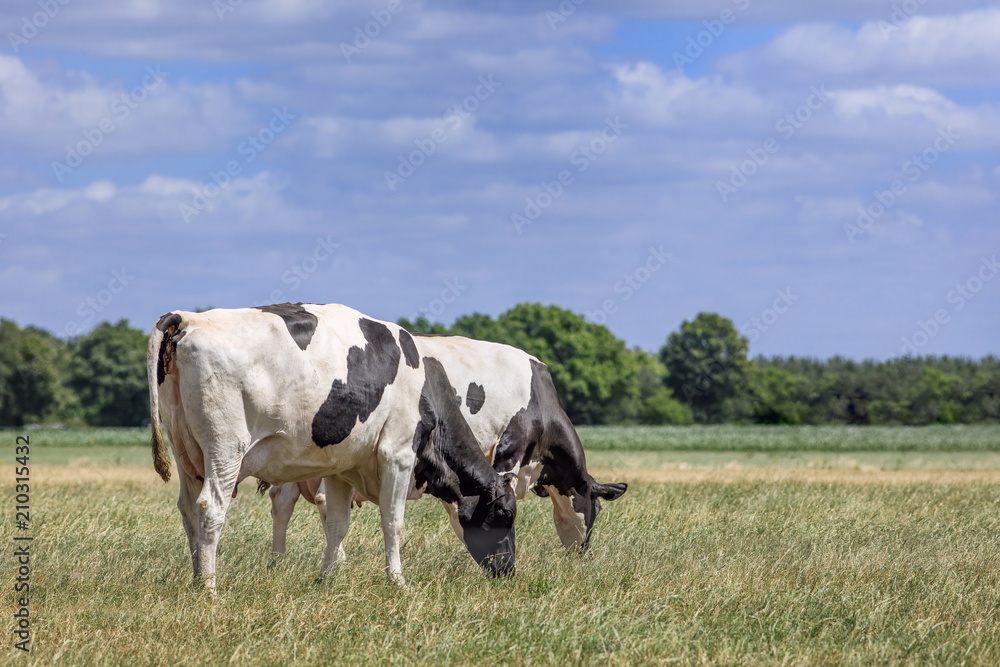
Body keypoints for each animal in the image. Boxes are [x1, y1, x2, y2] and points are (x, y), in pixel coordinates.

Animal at [150, 302, 524, 588]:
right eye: (506, 513)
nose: (509, 570)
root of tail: (189, 317)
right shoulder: (398, 454)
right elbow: (393, 520)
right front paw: (397, 581)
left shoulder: (341, 467)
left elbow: (336, 525)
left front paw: (325, 578)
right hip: (226, 449)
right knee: (209, 508)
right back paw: (209, 588)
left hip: (187, 454)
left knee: (188, 509)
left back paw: (196, 578)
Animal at [266, 316, 624, 560]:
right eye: (596, 509)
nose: (584, 554)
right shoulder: (508, 452)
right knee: (322, 502)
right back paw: (336, 558)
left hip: (299, 452)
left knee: (282, 502)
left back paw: (278, 560)